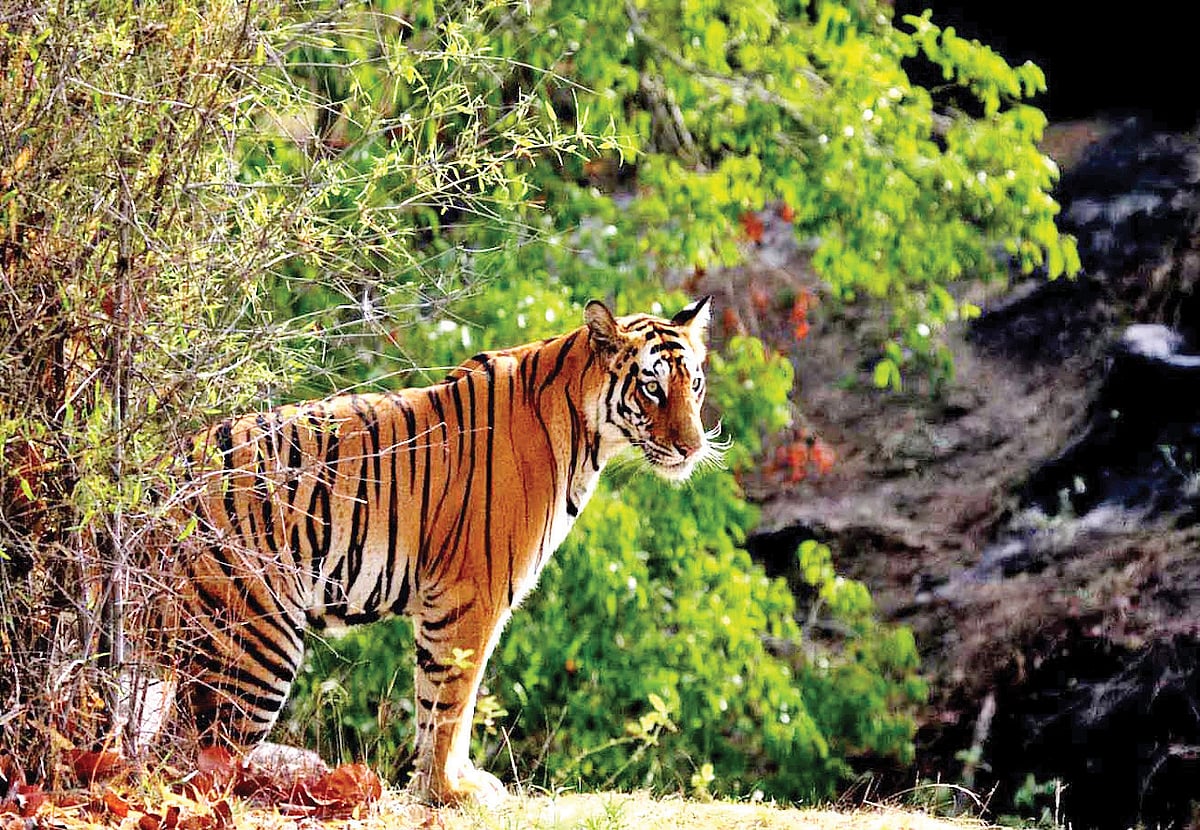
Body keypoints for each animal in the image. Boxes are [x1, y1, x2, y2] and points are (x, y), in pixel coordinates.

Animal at [176, 297, 719, 805]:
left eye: (693, 384)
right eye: (652, 387)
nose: (693, 448)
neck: (587, 435)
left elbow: (452, 698)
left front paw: (453, 782)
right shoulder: (472, 595)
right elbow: (451, 700)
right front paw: (447, 791)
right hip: (255, 644)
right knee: (190, 760)